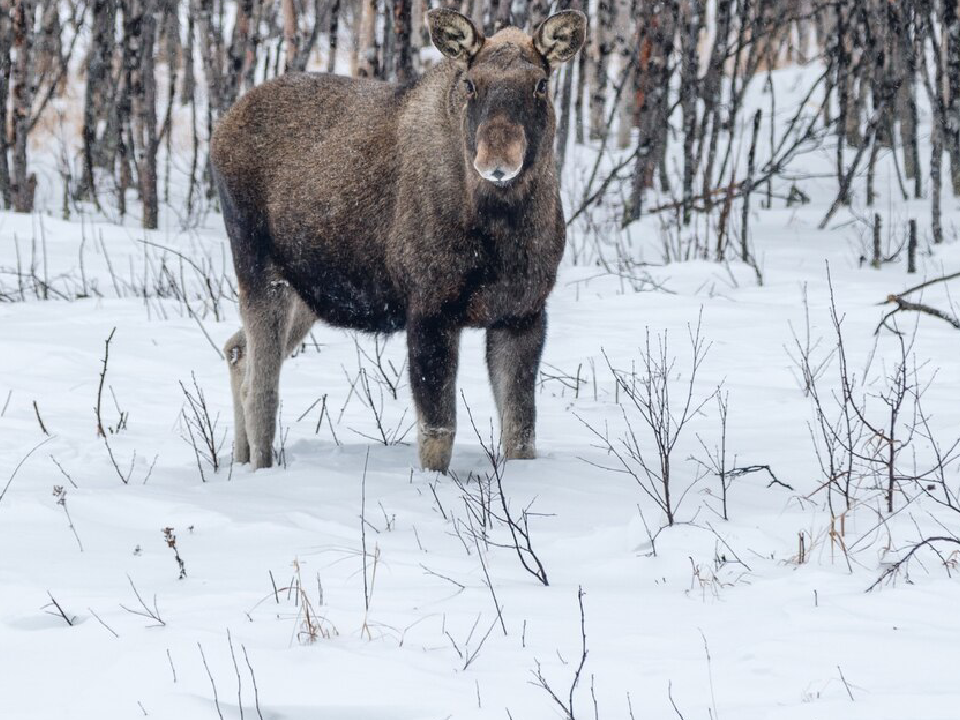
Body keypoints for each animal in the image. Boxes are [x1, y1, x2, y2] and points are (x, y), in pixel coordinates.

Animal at [212, 11, 584, 476]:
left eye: (541, 84)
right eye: (470, 83)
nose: (497, 162)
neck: (501, 231)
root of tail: (219, 130)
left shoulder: (523, 312)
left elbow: (520, 433)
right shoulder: (429, 307)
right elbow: (438, 433)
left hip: (306, 294)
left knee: (236, 351)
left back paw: (237, 459)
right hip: (257, 266)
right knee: (261, 391)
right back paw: (259, 469)